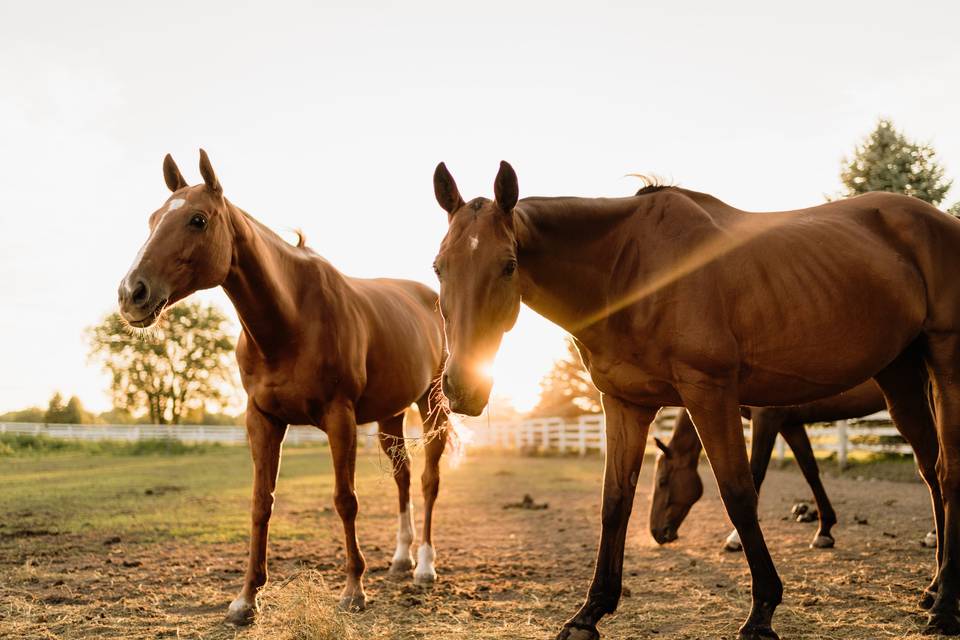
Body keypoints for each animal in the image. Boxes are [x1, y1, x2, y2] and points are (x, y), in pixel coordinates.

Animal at [117, 151, 450, 624]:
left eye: (197, 220)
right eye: (152, 219)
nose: (132, 294)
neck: (292, 318)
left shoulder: (339, 418)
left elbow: (345, 499)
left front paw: (353, 590)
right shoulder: (263, 419)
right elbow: (261, 502)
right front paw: (245, 599)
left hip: (432, 403)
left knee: (428, 480)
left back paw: (424, 565)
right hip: (391, 413)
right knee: (403, 475)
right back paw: (401, 559)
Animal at [644, 378, 936, 552]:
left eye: (662, 481)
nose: (656, 532)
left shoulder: (767, 418)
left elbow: (755, 473)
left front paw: (735, 538)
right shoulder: (790, 424)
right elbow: (810, 470)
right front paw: (825, 530)